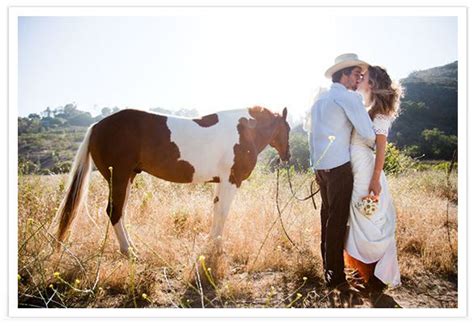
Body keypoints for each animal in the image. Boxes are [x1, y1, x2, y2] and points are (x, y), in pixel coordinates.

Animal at [56, 105, 292, 256]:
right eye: (288, 129)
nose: (287, 155)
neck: (244, 130)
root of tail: (96, 126)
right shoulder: (232, 181)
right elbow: (223, 213)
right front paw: (218, 248)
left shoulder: (222, 182)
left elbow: (216, 211)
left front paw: (211, 244)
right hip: (120, 178)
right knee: (114, 212)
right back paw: (129, 251)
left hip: (127, 178)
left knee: (119, 211)